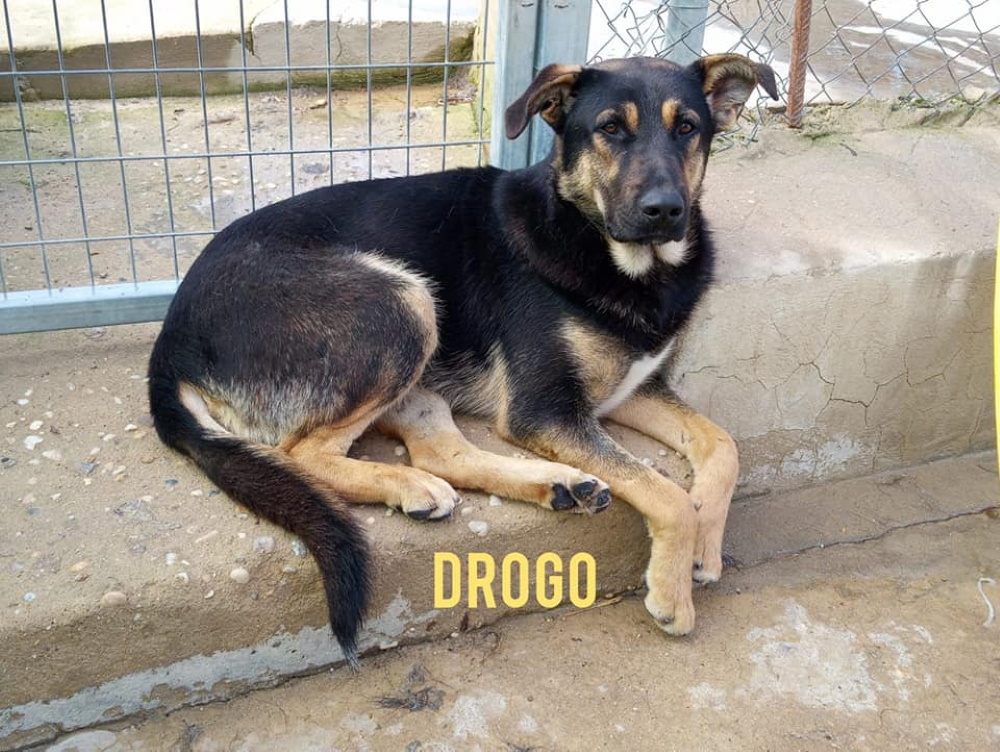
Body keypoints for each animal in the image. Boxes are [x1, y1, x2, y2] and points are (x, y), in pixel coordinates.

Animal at [148, 54, 779, 666]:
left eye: (688, 128)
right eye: (610, 129)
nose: (665, 210)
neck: (607, 249)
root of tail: (171, 335)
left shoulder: (629, 389)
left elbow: (722, 444)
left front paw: (705, 547)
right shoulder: (545, 409)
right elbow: (665, 492)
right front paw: (674, 592)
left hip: (417, 357)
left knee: (441, 453)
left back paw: (555, 484)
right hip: (402, 301)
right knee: (300, 453)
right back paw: (410, 484)